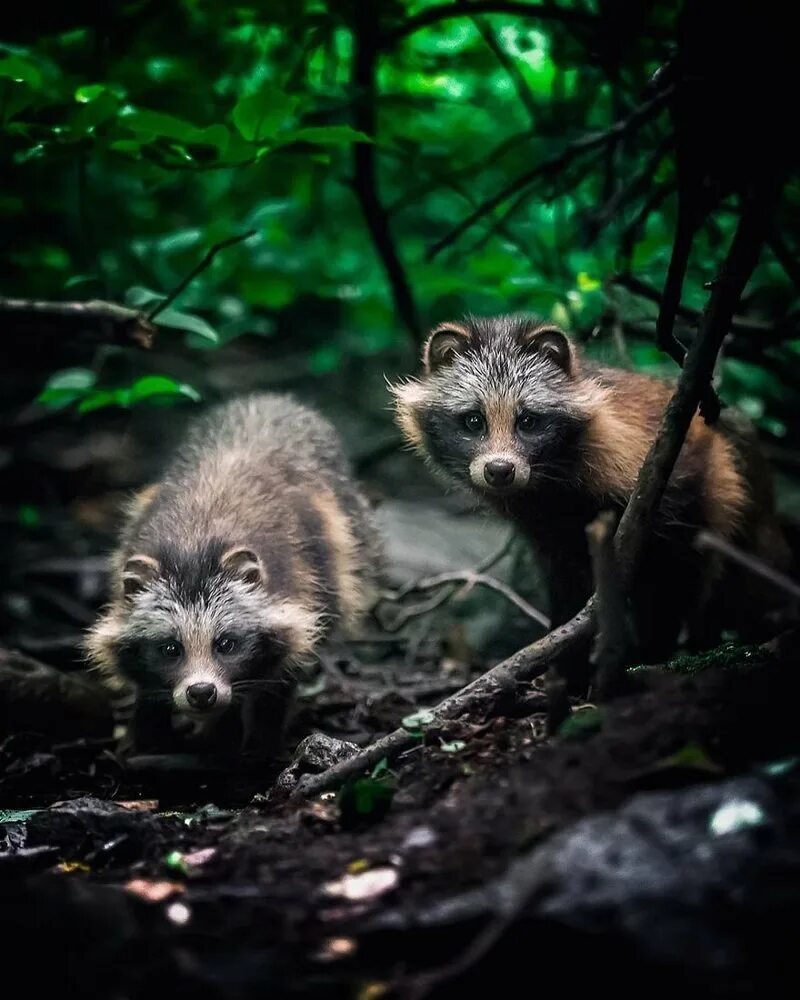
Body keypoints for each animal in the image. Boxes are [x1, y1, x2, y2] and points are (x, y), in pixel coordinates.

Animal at [86, 394, 382, 752]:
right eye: (171, 648)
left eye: (225, 644)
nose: (202, 693)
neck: (194, 548)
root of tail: (269, 398)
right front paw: (148, 727)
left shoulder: (303, 586)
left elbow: (283, 670)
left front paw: (255, 738)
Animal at [390, 312, 792, 656]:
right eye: (474, 421)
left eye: (528, 421)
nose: (500, 470)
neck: (549, 487)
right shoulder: (551, 535)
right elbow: (568, 588)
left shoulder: (679, 489)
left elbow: (672, 581)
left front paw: (651, 650)